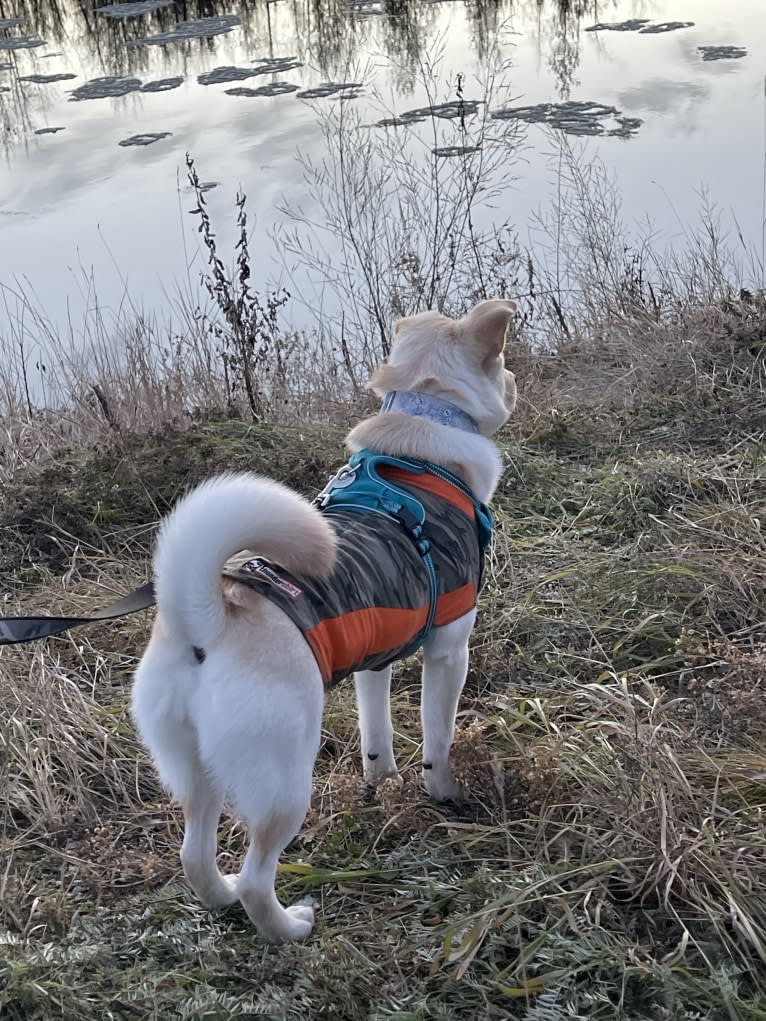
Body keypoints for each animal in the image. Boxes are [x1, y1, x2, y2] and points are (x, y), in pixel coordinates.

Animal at [131, 298, 518, 943]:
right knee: (258, 876)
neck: (421, 422)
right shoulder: (448, 652)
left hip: (196, 769)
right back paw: (290, 927)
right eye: (505, 363)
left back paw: (221, 896)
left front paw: (382, 784)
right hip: (284, 780)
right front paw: (443, 794)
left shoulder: (374, 661)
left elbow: (376, 735)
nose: (515, 380)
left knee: (194, 856)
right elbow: (437, 738)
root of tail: (208, 619)